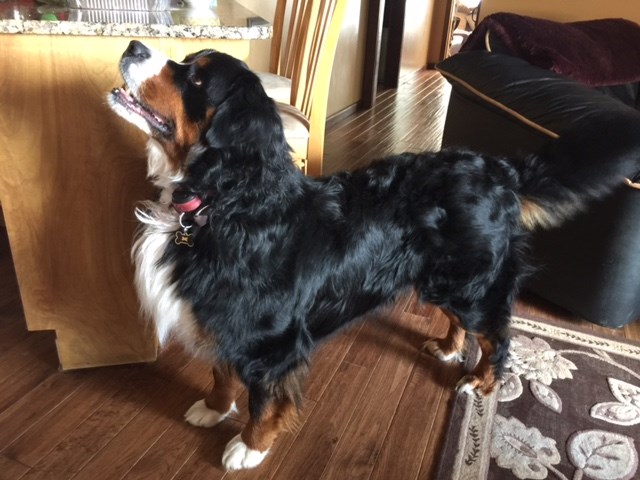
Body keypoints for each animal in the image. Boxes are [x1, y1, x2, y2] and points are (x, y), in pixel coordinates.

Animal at [108, 40, 640, 470]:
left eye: (196, 77)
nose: (132, 45)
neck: (225, 200)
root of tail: (498, 168)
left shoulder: (271, 337)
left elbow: (264, 400)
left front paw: (249, 446)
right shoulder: (221, 312)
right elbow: (221, 370)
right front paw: (214, 408)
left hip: (472, 284)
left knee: (497, 337)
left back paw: (483, 383)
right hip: (441, 279)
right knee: (462, 324)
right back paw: (448, 347)